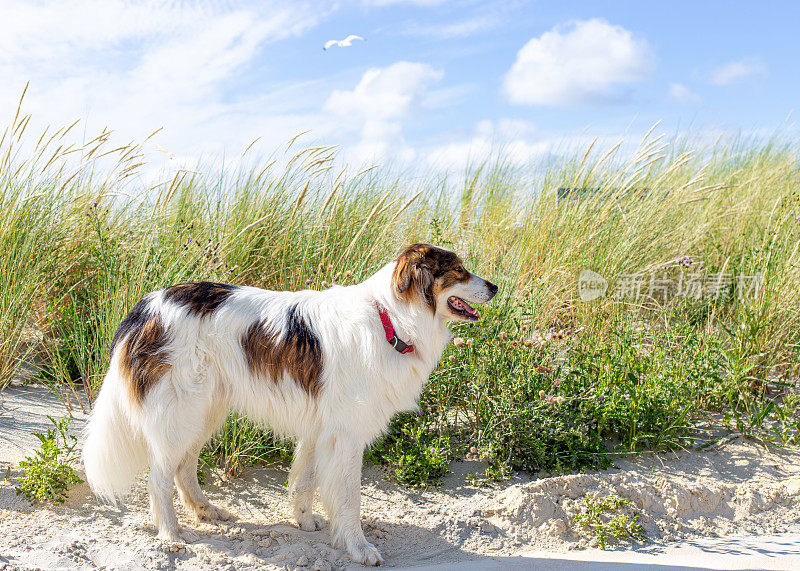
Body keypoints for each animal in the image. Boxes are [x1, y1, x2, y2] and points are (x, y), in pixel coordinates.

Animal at [81, 244, 494, 564]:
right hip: (182, 413)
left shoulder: (321, 430)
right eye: (459, 270)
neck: (388, 319)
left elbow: (305, 482)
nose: (494, 286)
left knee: (183, 469)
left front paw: (305, 522)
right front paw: (359, 548)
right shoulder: (346, 436)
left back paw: (206, 511)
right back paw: (171, 535)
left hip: (204, 412)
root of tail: (145, 307)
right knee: (159, 478)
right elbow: (349, 500)